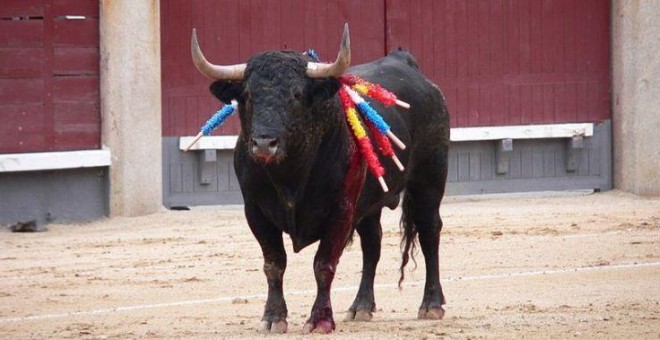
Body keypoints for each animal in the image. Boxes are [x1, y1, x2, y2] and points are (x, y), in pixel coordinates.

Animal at [195, 30, 448, 334]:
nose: (264, 143)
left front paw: (320, 320)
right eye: (247, 96)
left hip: (430, 177)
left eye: (296, 95)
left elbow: (324, 265)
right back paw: (361, 307)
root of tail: (407, 64)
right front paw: (273, 317)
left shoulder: (341, 210)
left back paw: (432, 304)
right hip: (370, 203)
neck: (289, 174)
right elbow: (274, 264)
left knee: (429, 231)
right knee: (372, 244)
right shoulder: (255, 212)